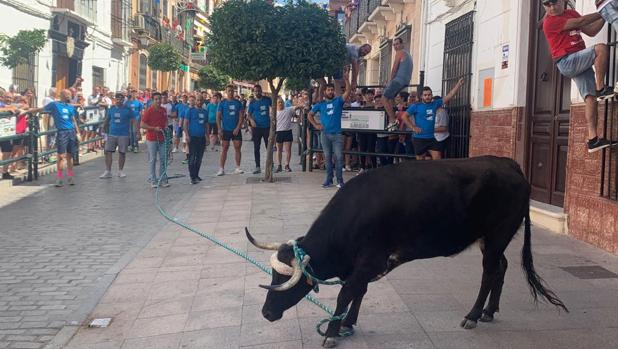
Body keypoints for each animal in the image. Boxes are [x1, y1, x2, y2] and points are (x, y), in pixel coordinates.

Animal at [245, 156, 568, 346]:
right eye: (272, 275)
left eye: (285, 281)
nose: (266, 312)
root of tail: (508, 164)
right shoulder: (364, 265)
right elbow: (358, 292)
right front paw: (348, 323)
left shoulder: (369, 260)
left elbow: (346, 293)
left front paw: (333, 332)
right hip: (490, 239)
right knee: (501, 268)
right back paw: (489, 311)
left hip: (498, 234)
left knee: (489, 272)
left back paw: (474, 315)